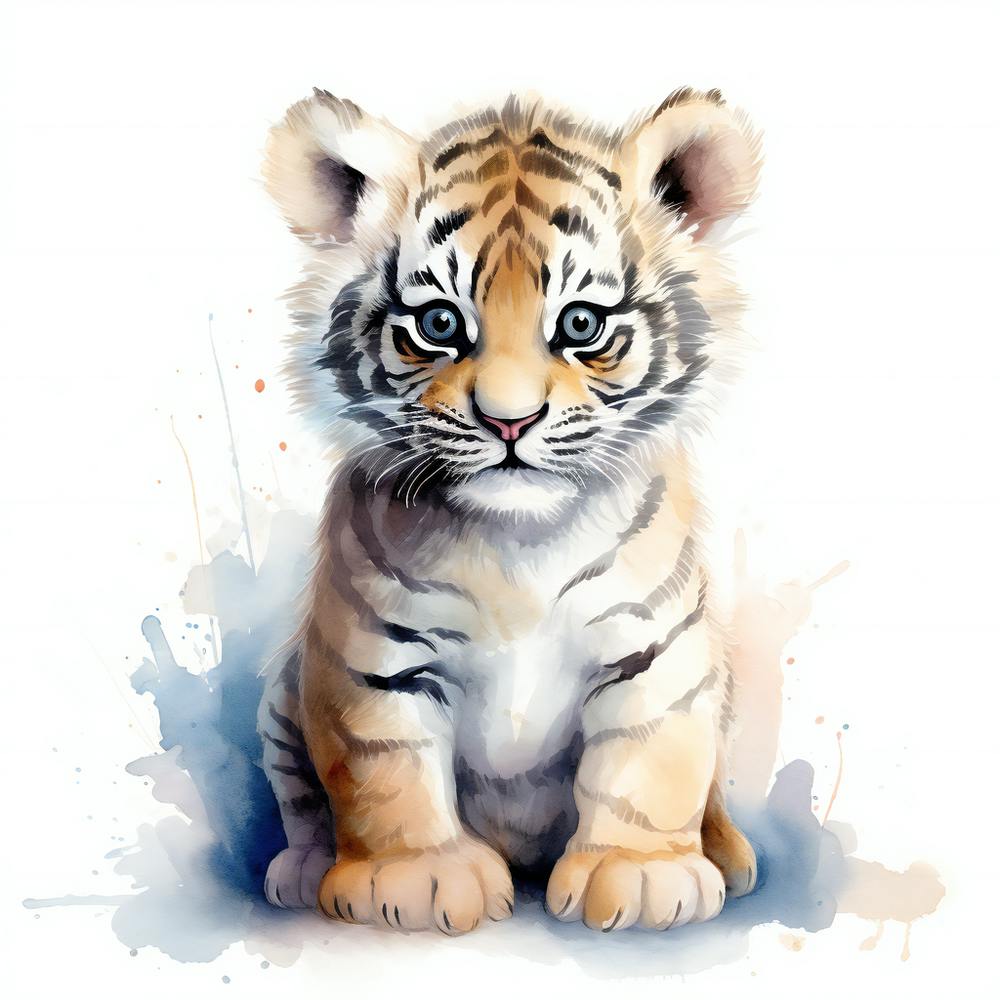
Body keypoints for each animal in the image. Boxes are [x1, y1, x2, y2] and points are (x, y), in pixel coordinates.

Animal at [257, 86, 762, 935]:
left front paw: (640, 873)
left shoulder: (658, 653)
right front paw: (412, 878)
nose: (509, 421)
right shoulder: (371, 655)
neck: (520, 542)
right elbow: (384, 769)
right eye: (439, 324)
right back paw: (300, 870)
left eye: (582, 324)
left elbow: (649, 764)